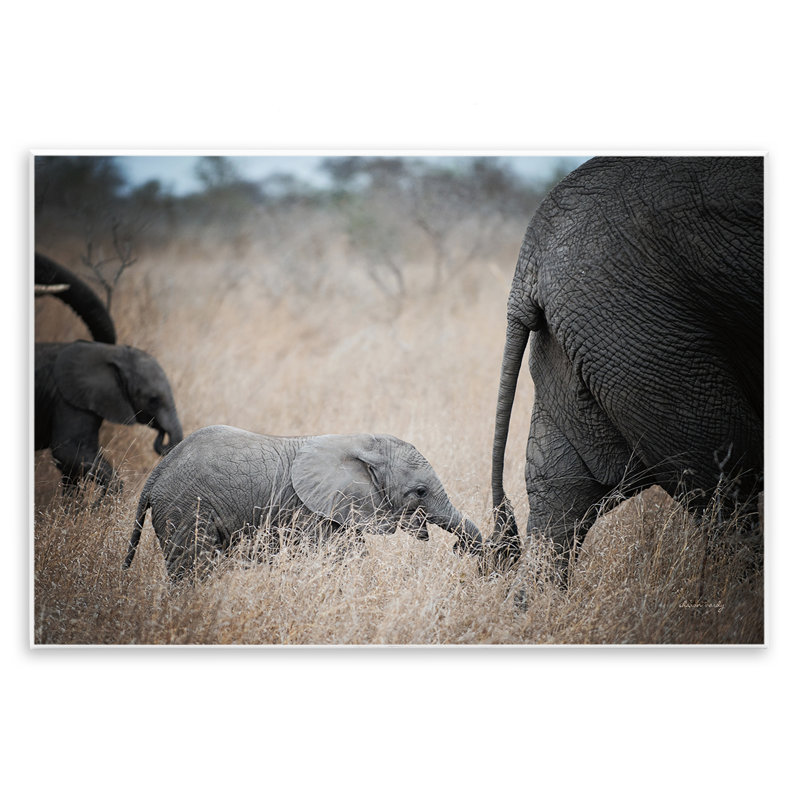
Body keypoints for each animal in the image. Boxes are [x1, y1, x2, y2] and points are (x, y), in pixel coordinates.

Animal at [123, 425, 483, 579]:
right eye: (420, 492)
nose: (461, 550)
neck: (360, 442)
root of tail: (156, 473)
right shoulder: (308, 511)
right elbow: (340, 559)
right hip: (185, 507)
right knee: (193, 566)